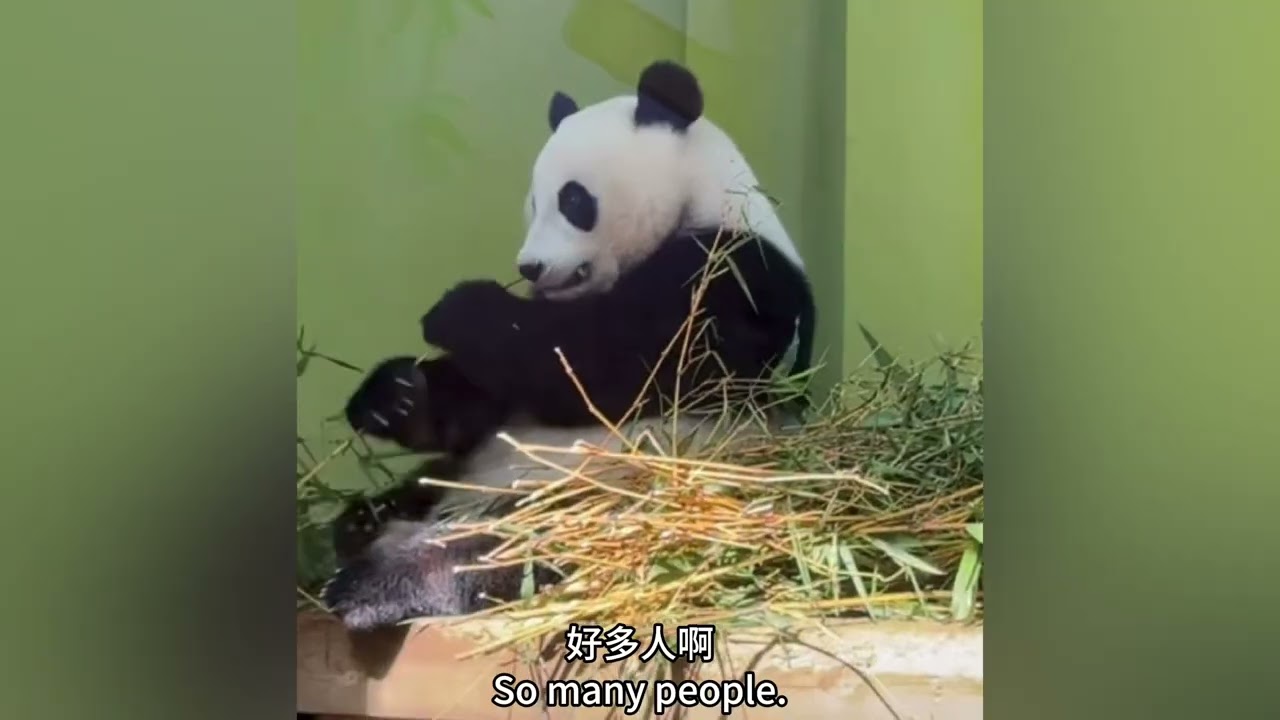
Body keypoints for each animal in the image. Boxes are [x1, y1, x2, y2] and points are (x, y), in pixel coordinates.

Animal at [322, 60, 817, 631]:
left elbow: (612, 364)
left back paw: (376, 583)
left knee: (511, 549)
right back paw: (361, 526)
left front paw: (458, 308)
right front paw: (395, 395)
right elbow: (492, 393)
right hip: (470, 473)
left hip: (614, 499)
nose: (530, 267)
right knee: (417, 493)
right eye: (533, 202)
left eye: (573, 199)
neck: (703, 196)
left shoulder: (733, 277)